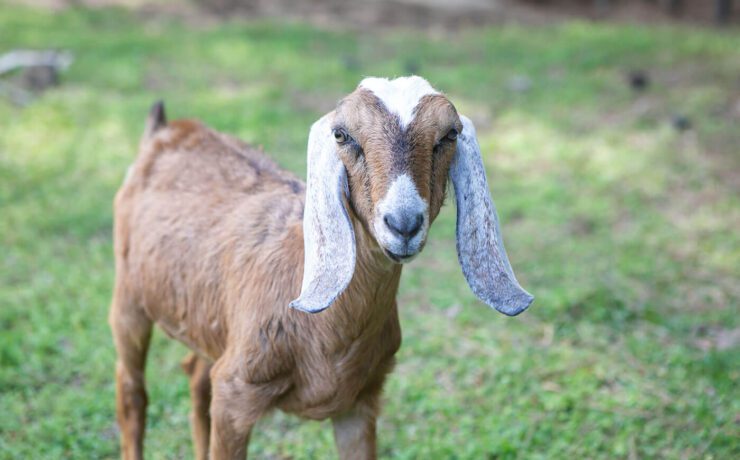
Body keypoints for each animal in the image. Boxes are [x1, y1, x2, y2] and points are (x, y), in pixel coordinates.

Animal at [109, 76, 533, 460]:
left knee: (197, 378)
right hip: (128, 297)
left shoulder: (360, 402)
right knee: (132, 392)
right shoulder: (237, 394)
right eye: (343, 135)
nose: (403, 223)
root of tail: (167, 129)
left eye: (449, 134)